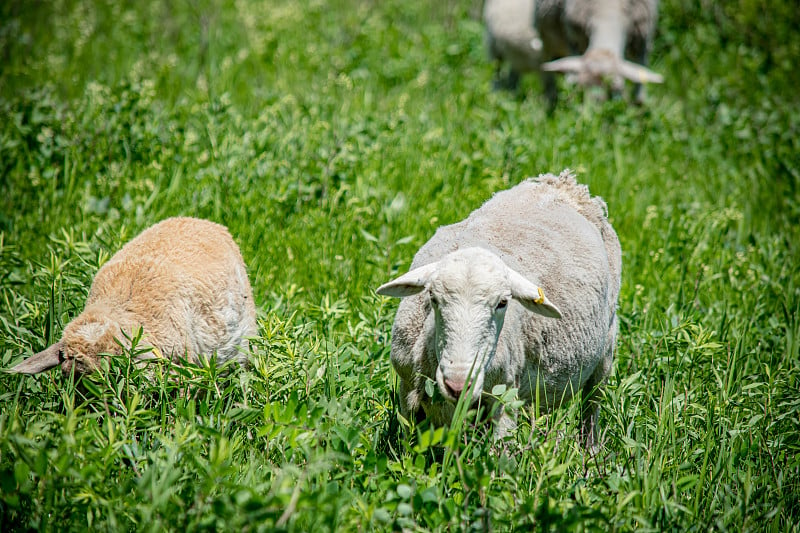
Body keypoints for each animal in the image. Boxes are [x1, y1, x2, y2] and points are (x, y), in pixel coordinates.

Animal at [378, 169, 620, 444]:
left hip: (606, 350)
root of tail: (564, 184)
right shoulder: (407, 391)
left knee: (592, 408)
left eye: (503, 303)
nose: (458, 384)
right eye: (433, 298)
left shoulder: (505, 398)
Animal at [536, 0, 664, 104]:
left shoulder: (643, 37)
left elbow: (641, 75)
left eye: (615, 90)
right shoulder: (574, 38)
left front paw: (639, 104)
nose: (596, 113)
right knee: (547, 75)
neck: (607, 11)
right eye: (582, 87)